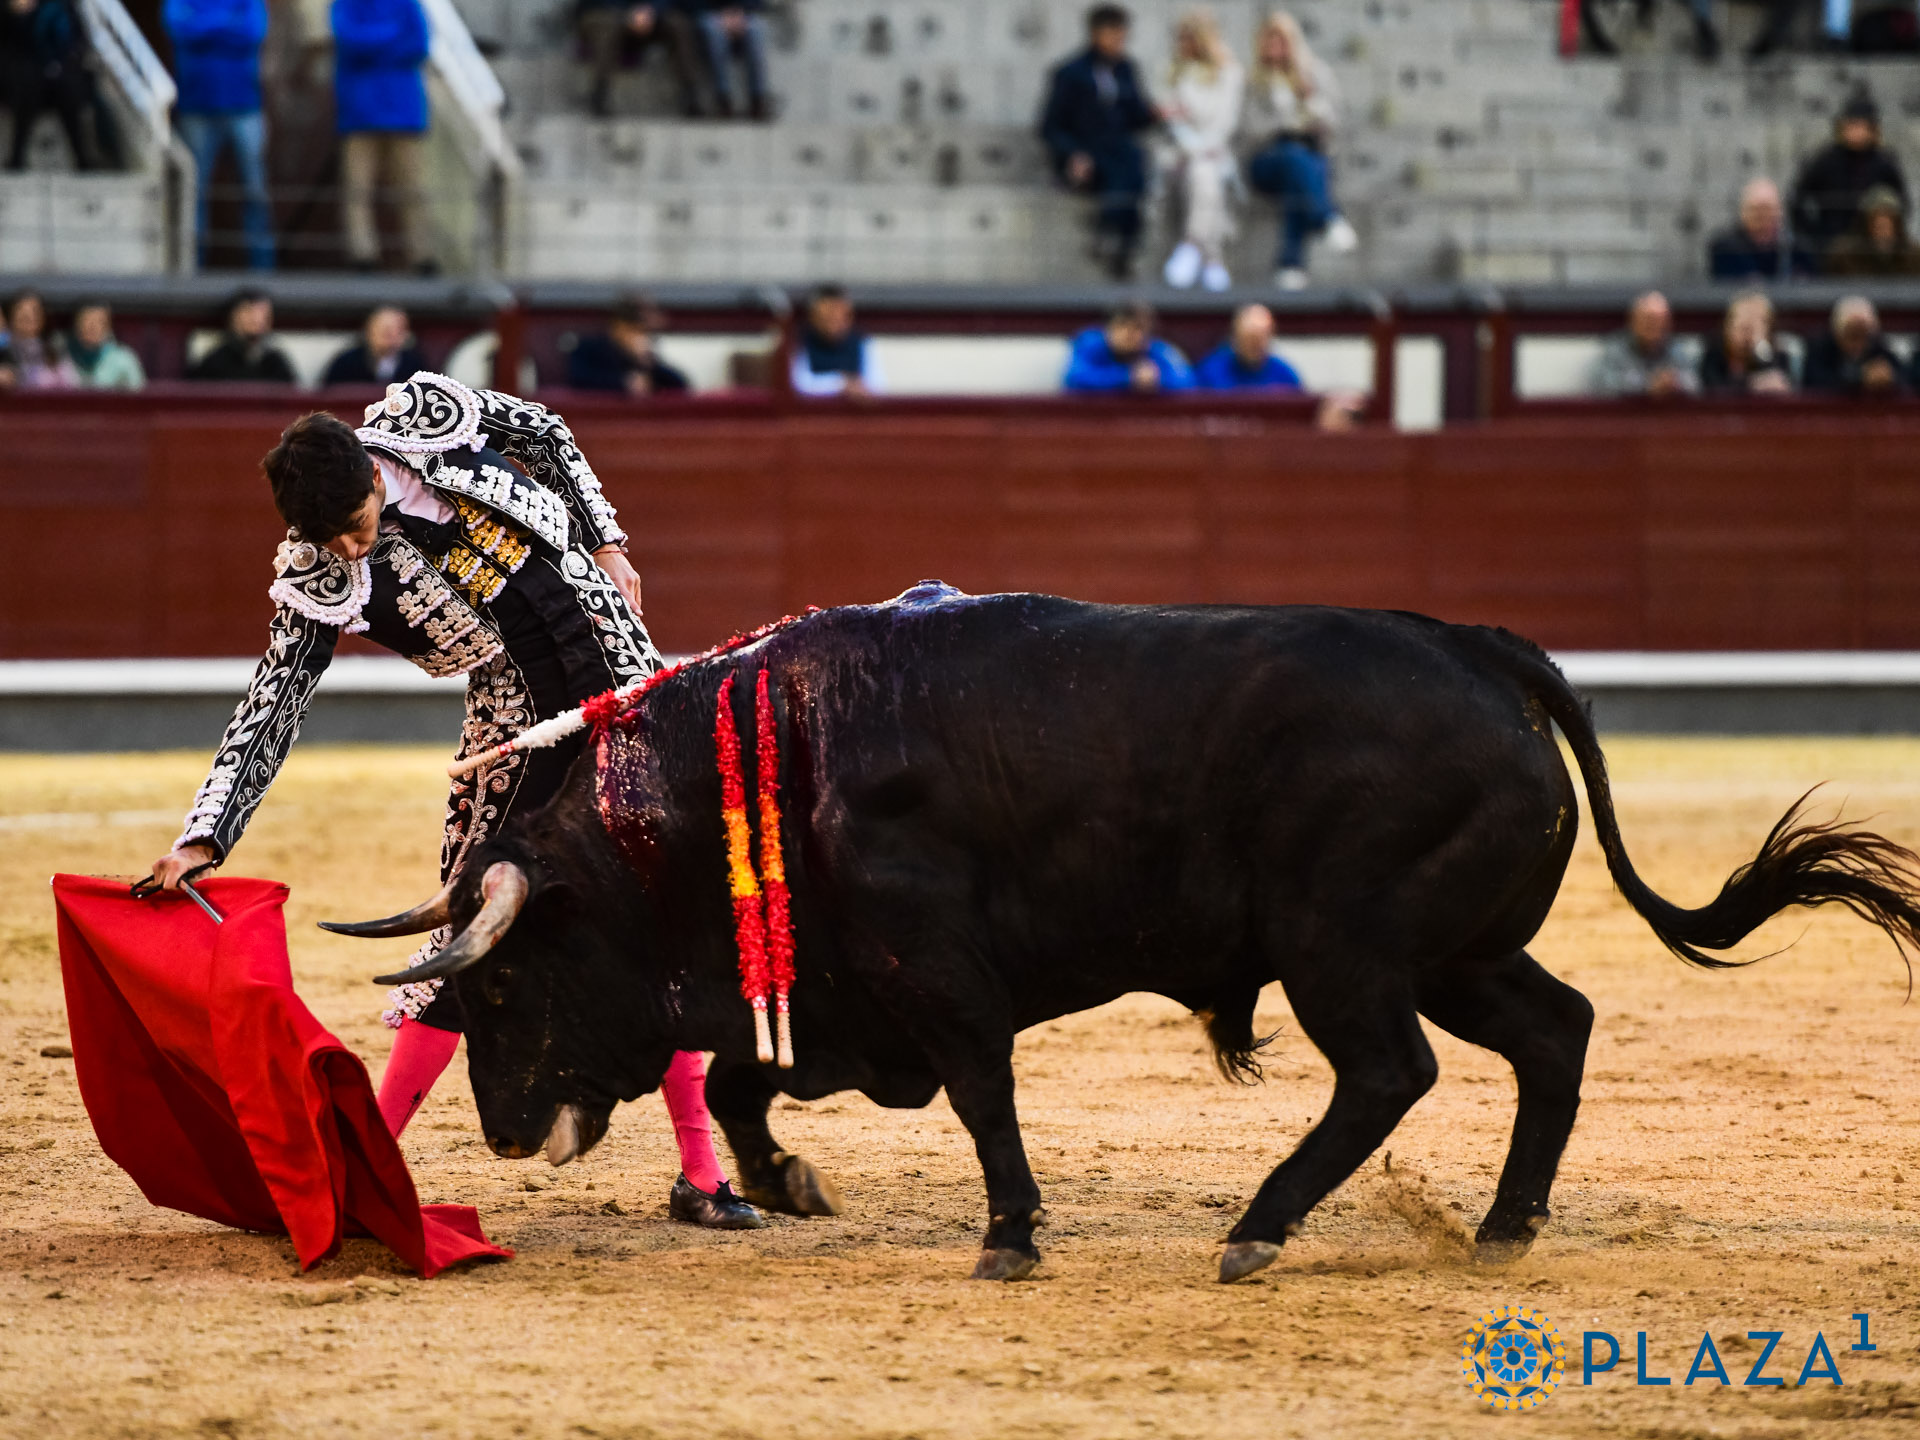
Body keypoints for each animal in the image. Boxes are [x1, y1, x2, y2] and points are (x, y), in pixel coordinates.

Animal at [326, 585, 1920, 1283]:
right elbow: (735, 1078)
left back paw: (1261, 1228)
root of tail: (1480, 652)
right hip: (1459, 953)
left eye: (506, 988)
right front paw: (788, 1185)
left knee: (1391, 1071)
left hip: (1346, 948)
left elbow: (979, 1097)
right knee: (1555, 1031)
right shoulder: (839, 999)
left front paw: (1010, 1238)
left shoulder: (935, 980)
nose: (508, 1135)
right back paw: (1501, 1224)